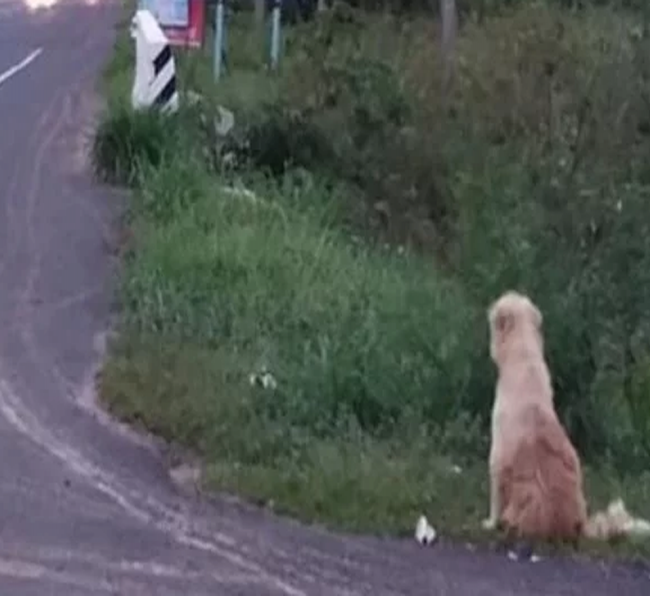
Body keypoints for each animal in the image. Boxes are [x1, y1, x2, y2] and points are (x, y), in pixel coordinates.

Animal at [480, 292, 648, 544]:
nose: (489, 309)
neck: (524, 358)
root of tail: (580, 526)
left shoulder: (499, 458)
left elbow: (496, 498)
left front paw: (490, 523)